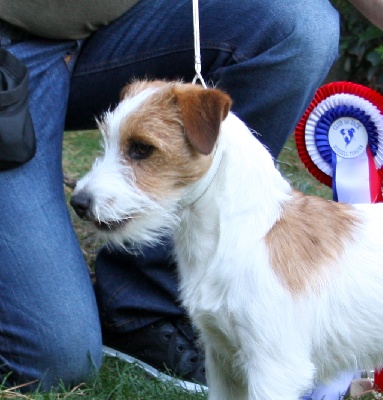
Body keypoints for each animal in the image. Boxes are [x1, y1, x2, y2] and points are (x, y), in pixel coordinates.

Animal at [70, 79, 383, 400]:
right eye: (106, 141)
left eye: (142, 148)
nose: (78, 202)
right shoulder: (222, 361)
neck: (243, 234)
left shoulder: (275, 369)